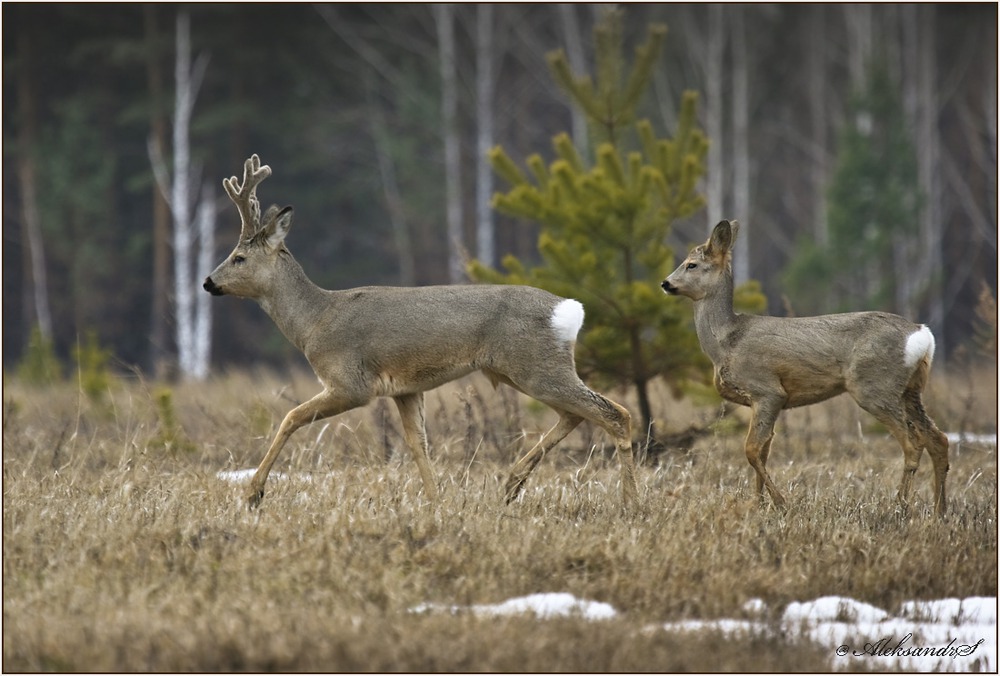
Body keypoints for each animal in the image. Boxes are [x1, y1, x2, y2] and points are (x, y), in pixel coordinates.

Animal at [204, 156, 640, 510]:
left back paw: (629, 504)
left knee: (613, 412)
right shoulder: (406, 388)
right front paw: (436, 502)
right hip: (529, 369)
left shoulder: (351, 382)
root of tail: (570, 309)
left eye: (238, 257)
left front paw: (253, 493)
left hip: (535, 365)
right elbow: (419, 445)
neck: (314, 321)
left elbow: (291, 416)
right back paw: (512, 484)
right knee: (576, 414)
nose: (208, 282)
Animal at [660, 219, 948, 516]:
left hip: (875, 387)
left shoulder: (767, 391)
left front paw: (780, 502)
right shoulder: (763, 401)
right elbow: (763, 451)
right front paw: (758, 504)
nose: (665, 283)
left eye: (691, 264)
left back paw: (900, 506)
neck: (726, 342)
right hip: (910, 389)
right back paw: (940, 509)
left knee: (913, 443)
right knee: (938, 439)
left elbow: (751, 450)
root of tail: (922, 334)